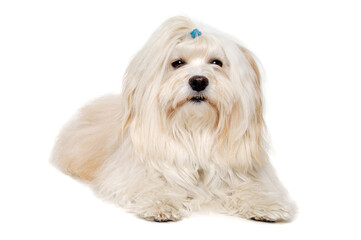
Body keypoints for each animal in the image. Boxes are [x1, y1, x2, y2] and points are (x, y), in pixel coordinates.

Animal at [51, 15, 296, 222]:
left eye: (216, 62)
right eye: (177, 63)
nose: (198, 81)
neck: (196, 131)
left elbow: (251, 187)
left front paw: (265, 204)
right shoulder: (133, 172)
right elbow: (150, 184)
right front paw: (161, 203)